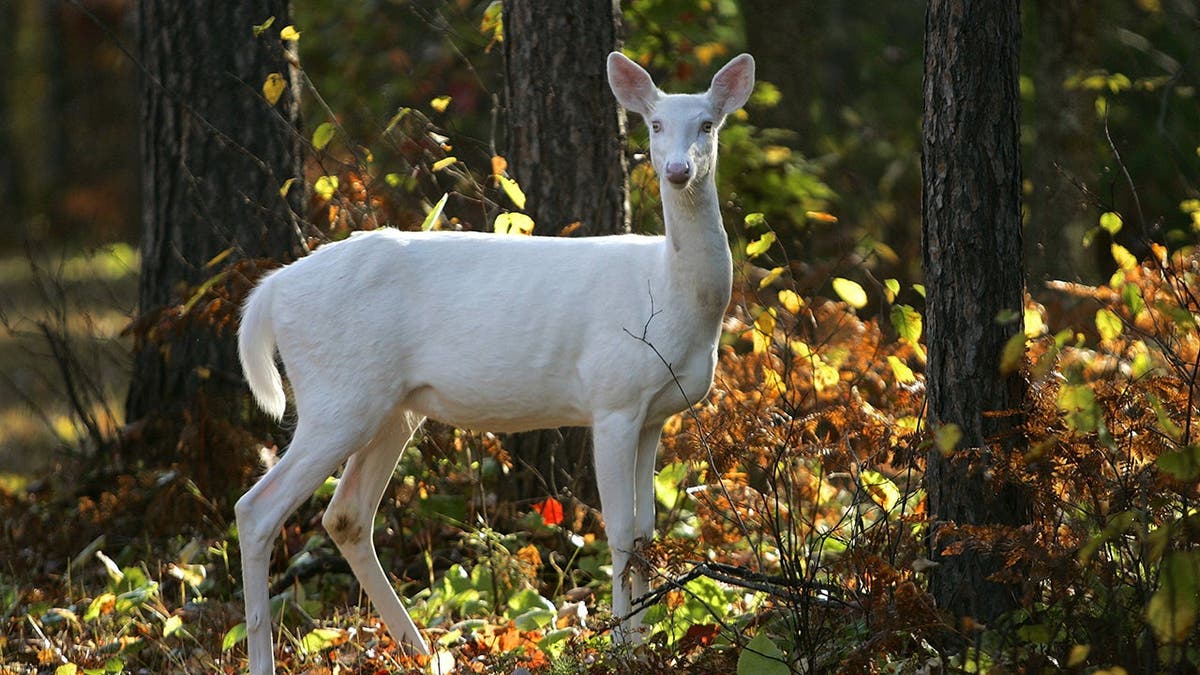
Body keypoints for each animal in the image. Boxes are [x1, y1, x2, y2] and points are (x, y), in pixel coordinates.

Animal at [234, 51, 755, 673]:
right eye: (653, 125)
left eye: (707, 124)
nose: (677, 170)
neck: (672, 298)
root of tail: (272, 291)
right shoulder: (613, 399)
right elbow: (620, 530)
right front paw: (621, 646)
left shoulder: (655, 413)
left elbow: (647, 534)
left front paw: (645, 641)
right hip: (337, 396)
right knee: (256, 510)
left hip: (391, 407)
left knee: (346, 515)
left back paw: (423, 651)